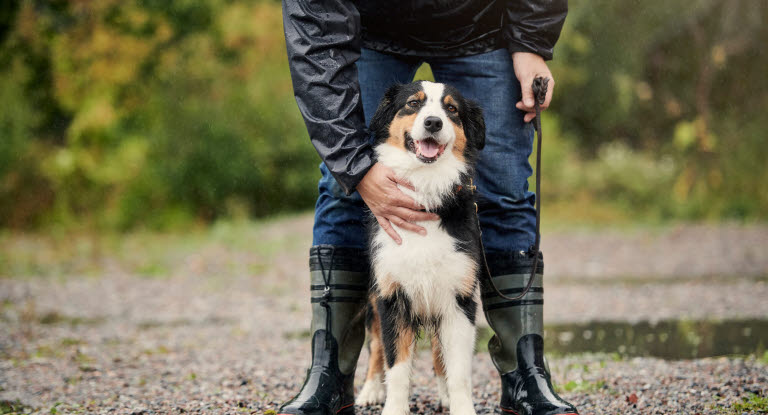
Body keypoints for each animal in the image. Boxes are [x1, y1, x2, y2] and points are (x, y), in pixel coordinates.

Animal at [356, 81, 486, 415]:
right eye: (413, 103)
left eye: (451, 109)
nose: (433, 123)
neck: (426, 193)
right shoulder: (392, 296)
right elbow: (397, 365)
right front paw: (393, 407)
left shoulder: (459, 299)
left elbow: (458, 370)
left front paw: (460, 406)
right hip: (373, 297)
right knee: (376, 346)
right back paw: (370, 389)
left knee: (440, 355)